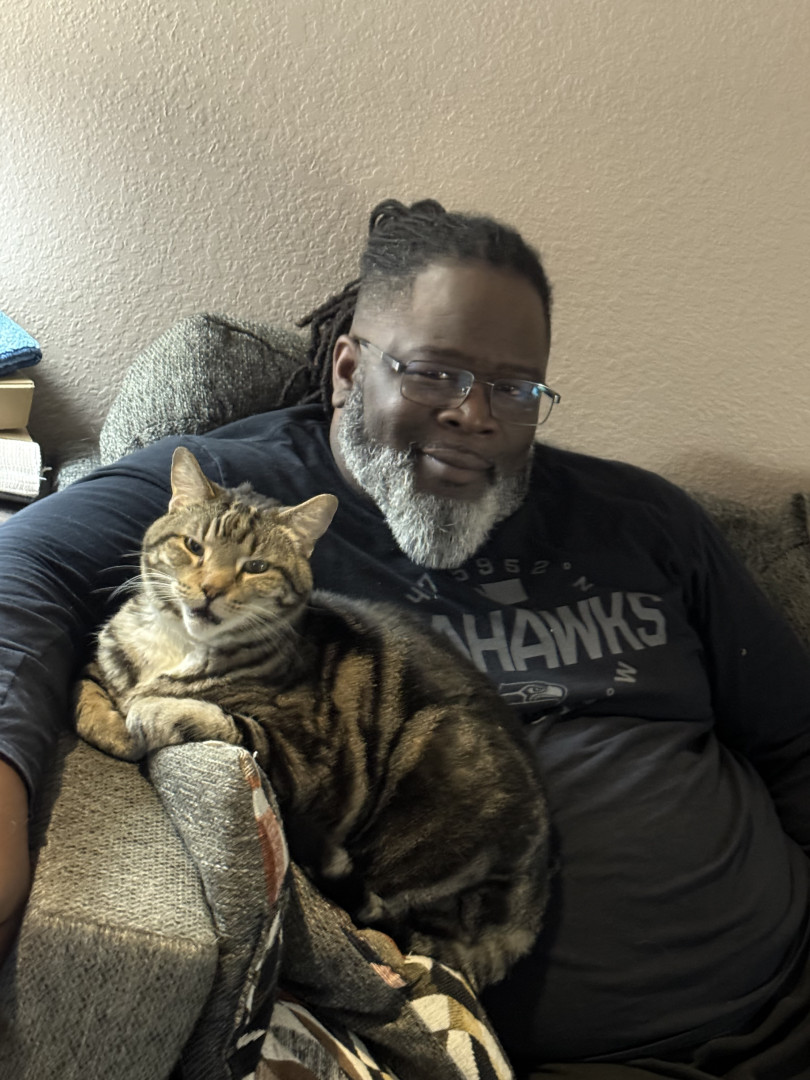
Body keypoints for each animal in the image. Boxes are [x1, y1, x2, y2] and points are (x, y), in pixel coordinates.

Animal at [75, 446, 550, 989]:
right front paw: (112, 723)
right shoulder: (102, 662)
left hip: (438, 755)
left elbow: (223, 721)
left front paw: (146, 714)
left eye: (255, 566)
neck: (179, 645)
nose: (210, 589)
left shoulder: (308, 762)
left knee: (388, 915)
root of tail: (530, 909)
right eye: (193, 546)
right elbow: (85, 694)